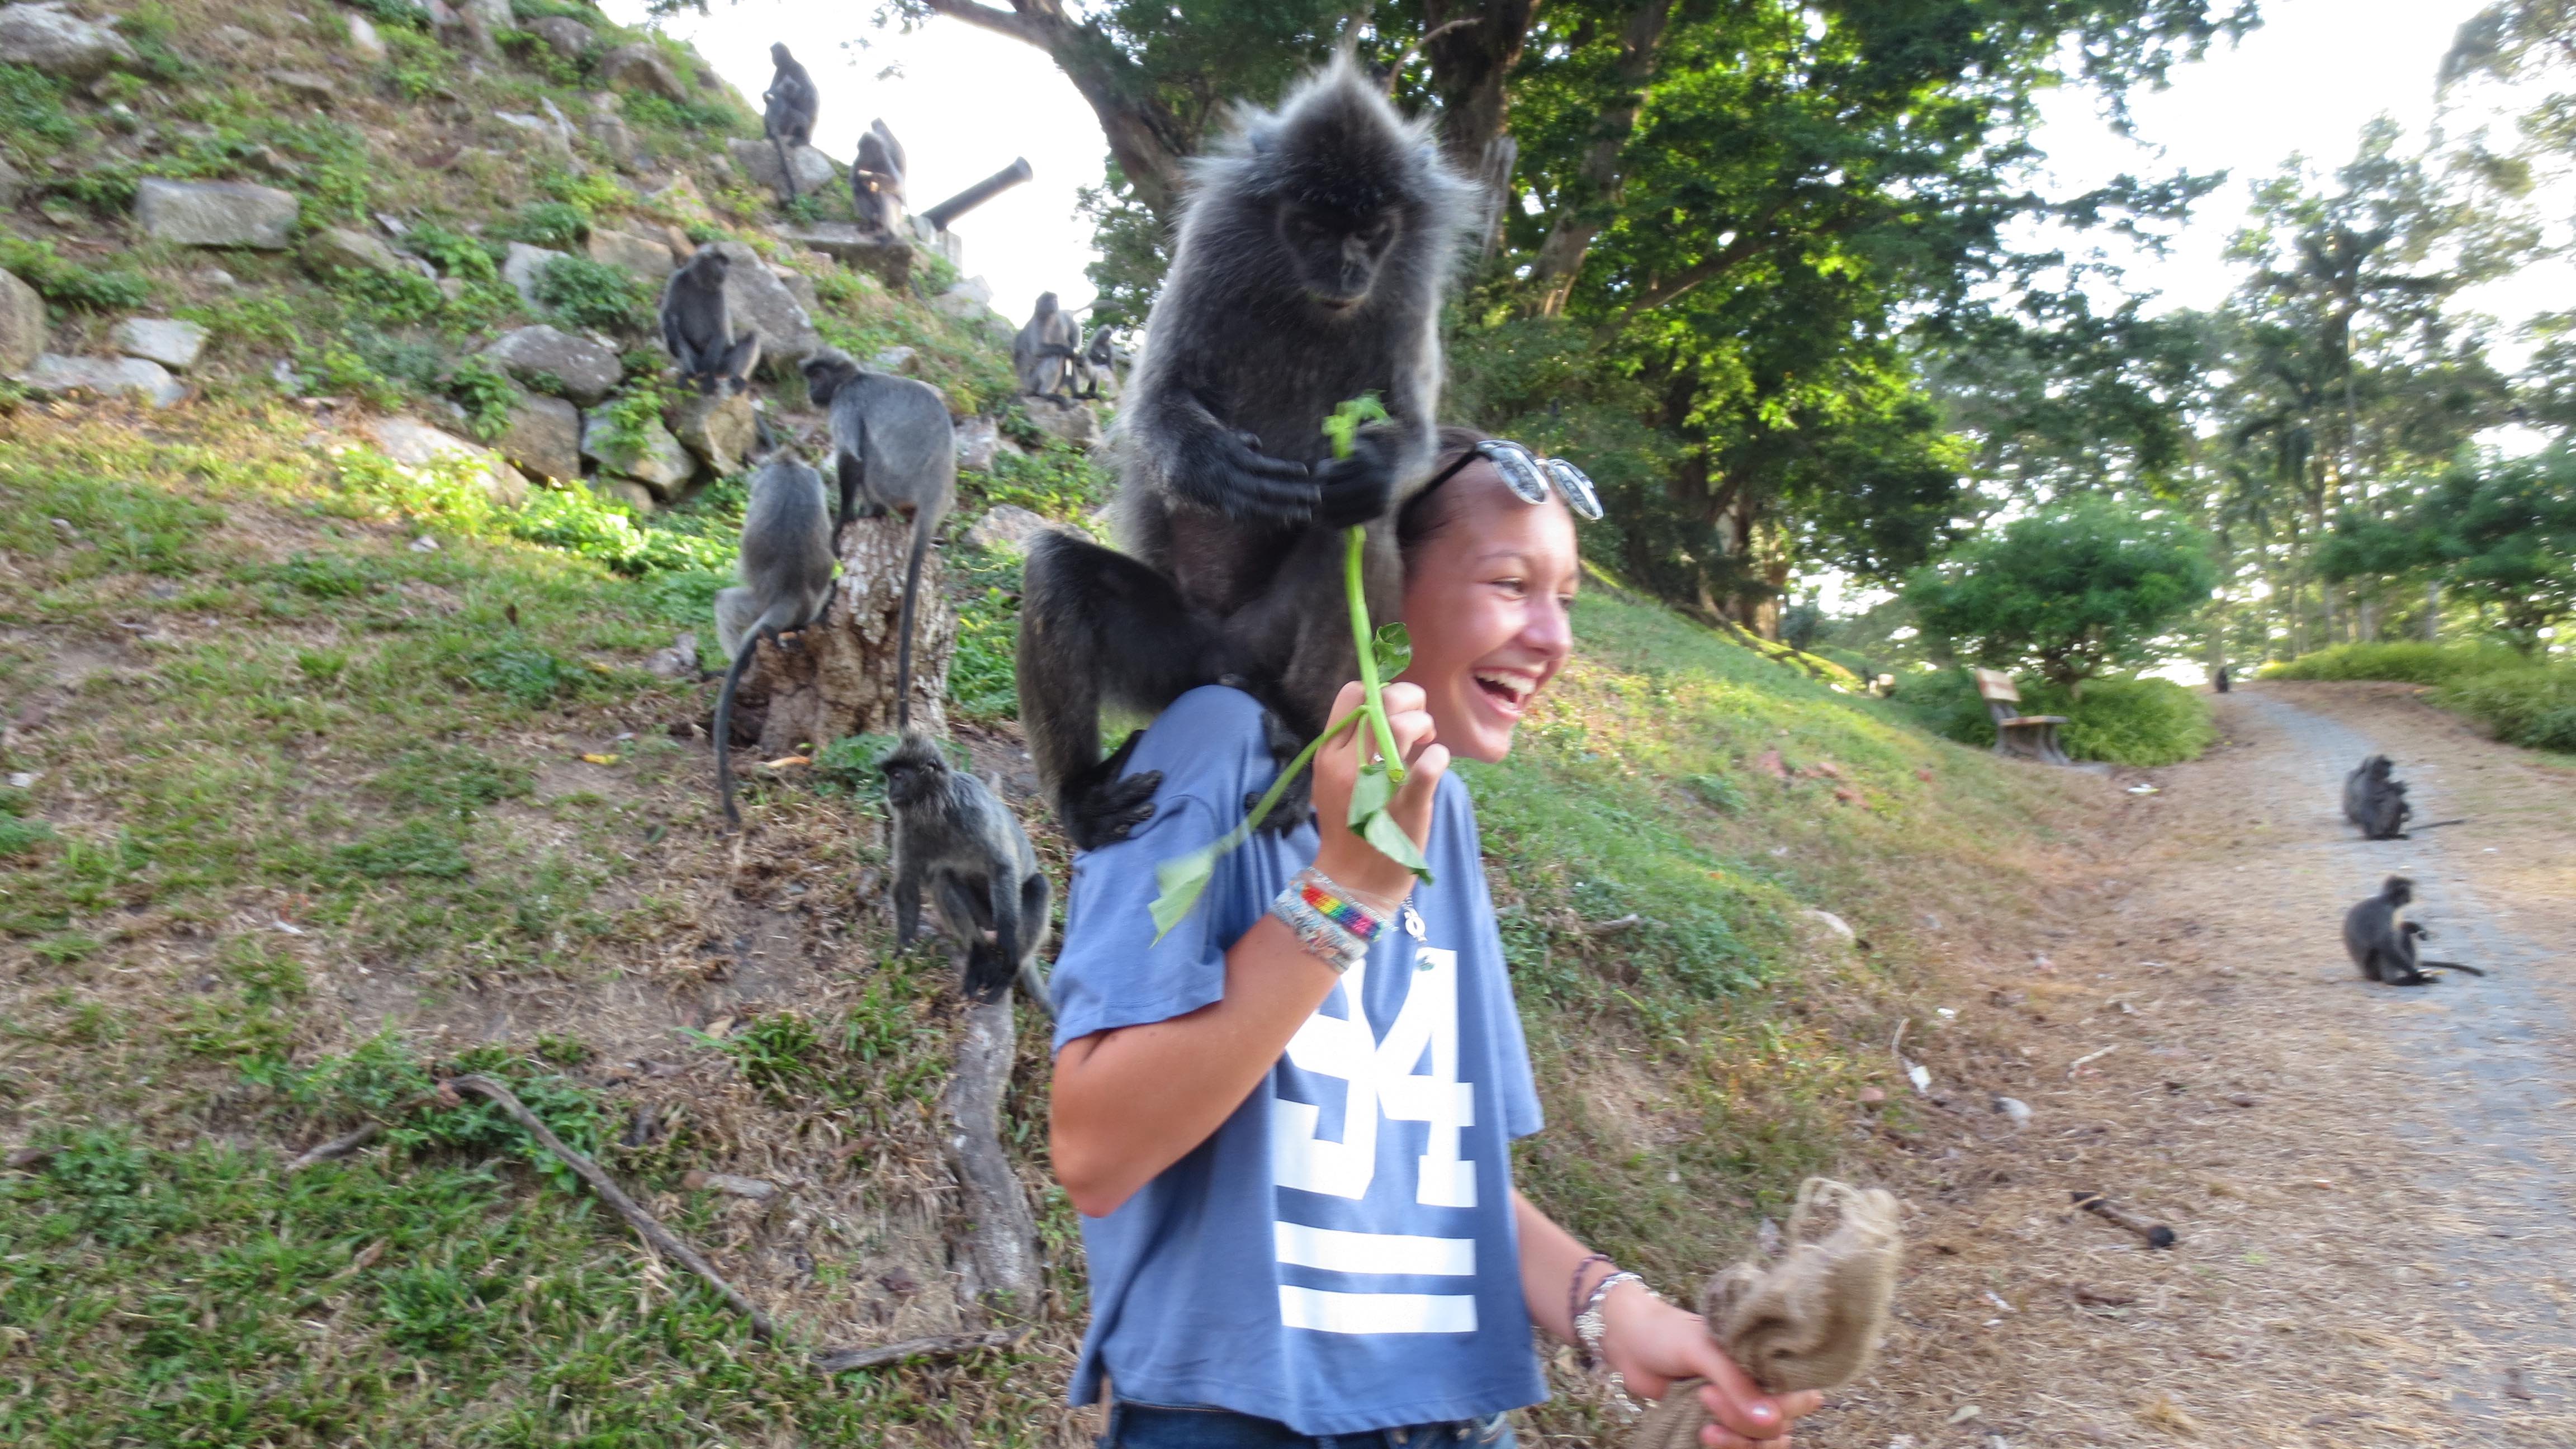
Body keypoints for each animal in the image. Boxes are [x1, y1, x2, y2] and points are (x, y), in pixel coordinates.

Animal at [798, 348, 953, 727]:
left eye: (817, 377)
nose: (811, 391)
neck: (856, 378)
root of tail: (935, 492)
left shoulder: (847, 400)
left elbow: (851, 456)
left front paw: (840, 524)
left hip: (890, 480)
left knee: (865, 458)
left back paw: (873, 512)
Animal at [1015, 59, 1484, 845]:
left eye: (1371, 233)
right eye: (1312, 228)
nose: (1346, 271)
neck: (1307, 301)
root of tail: (1225, 660)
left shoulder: (1408, 291)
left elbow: (1412, 435)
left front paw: (1374, 468)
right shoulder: (1211, 246)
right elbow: (1155, 399)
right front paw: (1215, 467)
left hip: (1265, 647)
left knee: (1350, 526)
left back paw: (1301, 740)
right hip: (1171, 658)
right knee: (1056, 569)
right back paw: (1081, 795)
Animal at [2349, 866, 2483, 979]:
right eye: (2409, 892)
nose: (2411, 897)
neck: (2386, 900)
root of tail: (2365, 974)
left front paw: (2413, 926)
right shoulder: (2384, 912)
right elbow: (2385, 944)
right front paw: (2415, 973)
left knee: (2403, 934)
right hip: (2373, 968)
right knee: (2387, 945)